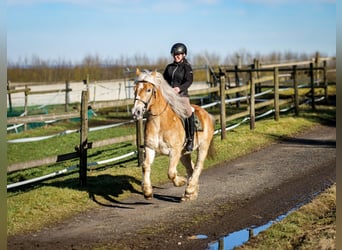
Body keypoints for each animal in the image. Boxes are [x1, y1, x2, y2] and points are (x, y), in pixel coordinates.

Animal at [131, 69, 214, 201]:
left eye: (149, 90)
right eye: (135, 89)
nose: (136, 112)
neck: (160, 122)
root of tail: (207, 114)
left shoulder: (174, 151)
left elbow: (171, 172)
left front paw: (181, 182)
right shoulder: (150, 148)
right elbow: (145, 166)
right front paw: (147, 192)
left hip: (203, 147)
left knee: (198, 166)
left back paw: (189, 189)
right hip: (184, 153)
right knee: (190, 168)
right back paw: (190, 193)